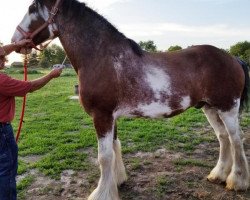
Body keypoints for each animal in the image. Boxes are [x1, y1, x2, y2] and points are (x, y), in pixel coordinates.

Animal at [12, 0, 250, 199]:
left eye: (32, 8)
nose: (15, 40)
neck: (102, 57)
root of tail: (233, 58)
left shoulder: (101, 115)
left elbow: (104, 156)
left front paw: (101, 194)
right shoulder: (110, 117)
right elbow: (115, 147)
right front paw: (117, 182)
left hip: (227, 107)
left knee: (235, 139)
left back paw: (237, 181)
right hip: (209, 108)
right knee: (223, 138)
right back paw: (218, 175)